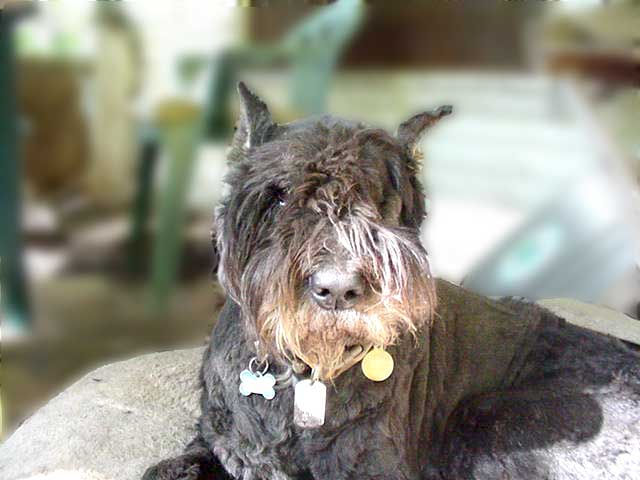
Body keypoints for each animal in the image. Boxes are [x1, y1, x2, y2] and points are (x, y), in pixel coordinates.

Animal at [145, 83, 640, 480]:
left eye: (379, 200)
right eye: (279, 197)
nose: (338, 289)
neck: (304, 379)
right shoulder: (216, 444)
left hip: (483, 418)